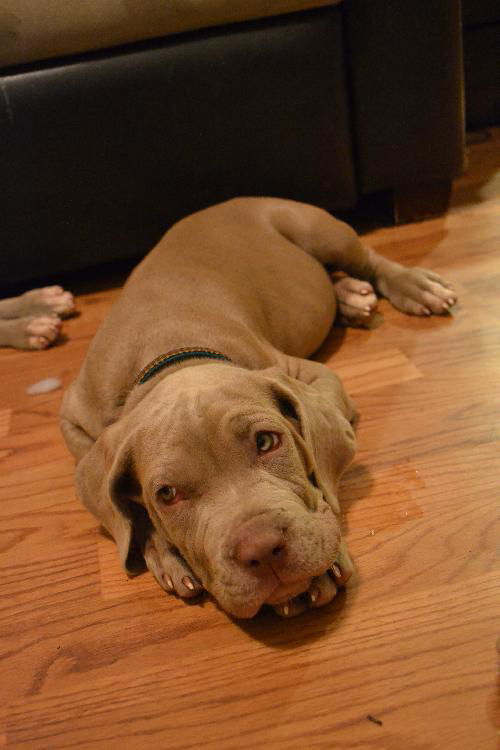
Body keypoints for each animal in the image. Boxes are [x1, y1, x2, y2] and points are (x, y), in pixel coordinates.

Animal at [58, 197, 458, 620]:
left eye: (267, 441)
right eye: (166, 494)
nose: (262, 549)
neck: (170, 354)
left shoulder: (308, 375)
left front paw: (321, 566)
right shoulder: (74, 421)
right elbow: (124, 506)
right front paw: (167, 552)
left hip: (323, 232)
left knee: (368, 259)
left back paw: (414, 287)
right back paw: (351, 298)